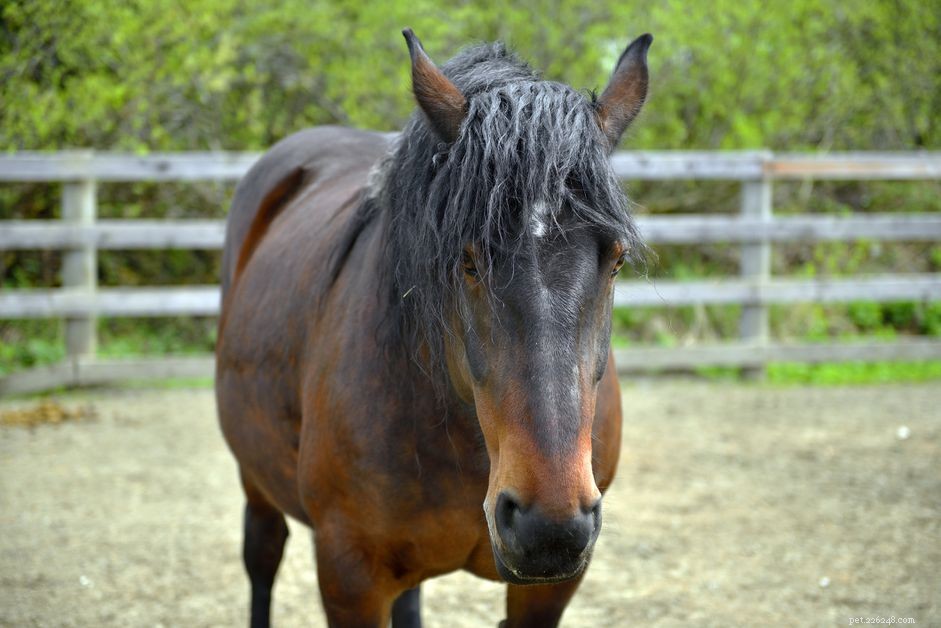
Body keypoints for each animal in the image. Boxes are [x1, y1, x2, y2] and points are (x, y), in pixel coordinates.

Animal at [216, 28, 651, 627]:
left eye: (616, 260)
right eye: (467, 261)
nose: (549, 527)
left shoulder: (548, 590)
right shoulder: (349, 575)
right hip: (255, 481)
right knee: (262, 557)